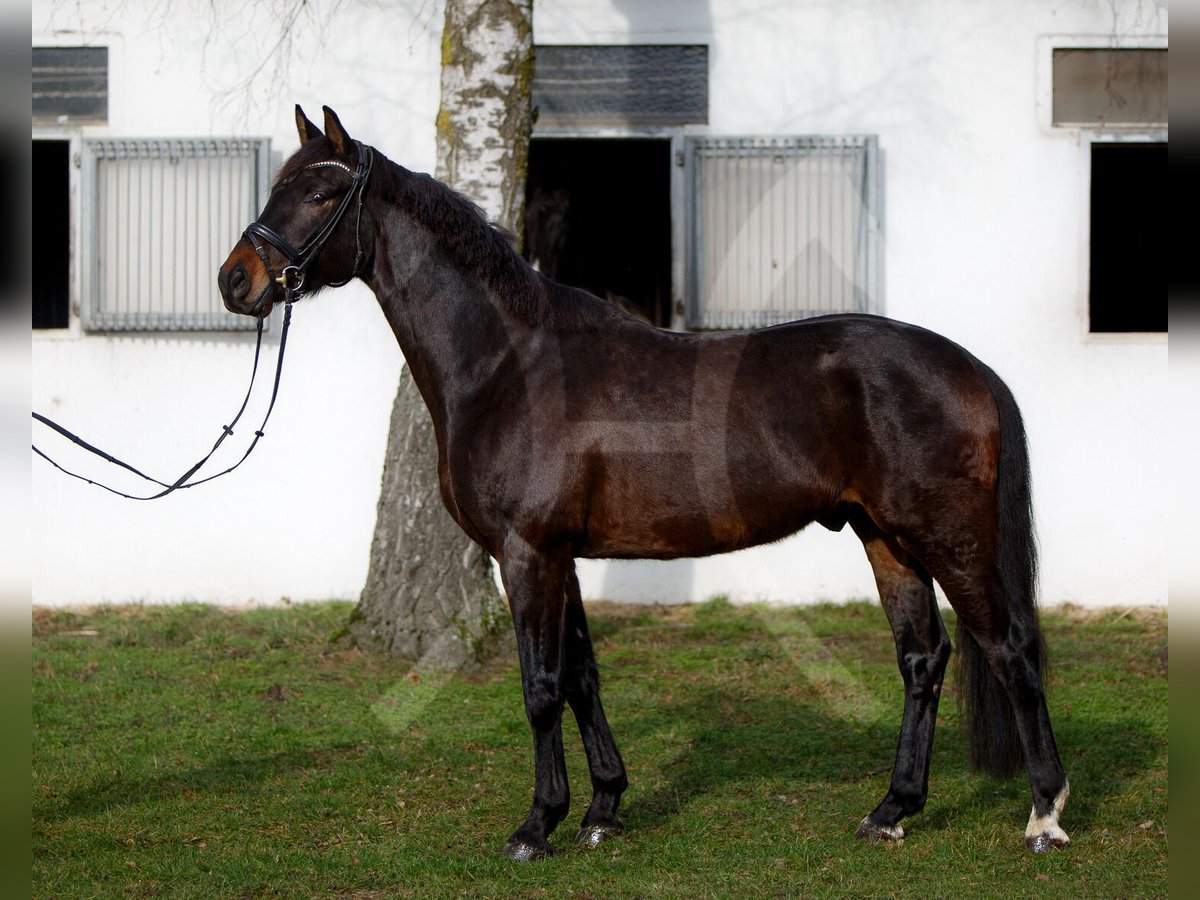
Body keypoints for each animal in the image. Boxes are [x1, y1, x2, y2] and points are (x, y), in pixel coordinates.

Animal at [220, 105, 1075, 859]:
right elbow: (583, 678)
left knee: (1010, 649)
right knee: (922, 659)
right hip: (886, 537)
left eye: (321, 193)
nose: (236, 280)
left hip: (948, 536)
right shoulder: (559, 556)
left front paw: (537, 826)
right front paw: (602, 810)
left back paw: (1044, 815)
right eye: (280, 184)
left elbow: (540, 686)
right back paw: (892, 811)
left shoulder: (526, 552)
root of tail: (967, 367)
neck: (506, 363)